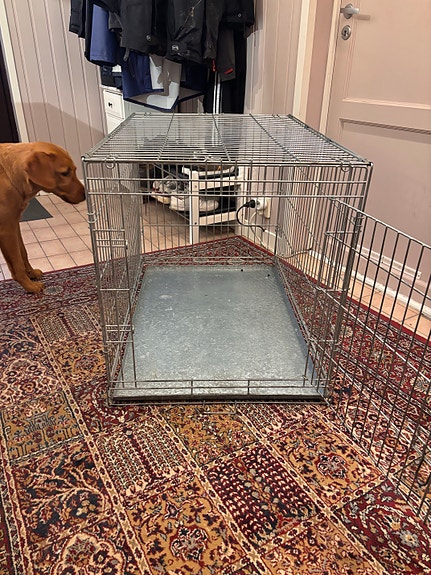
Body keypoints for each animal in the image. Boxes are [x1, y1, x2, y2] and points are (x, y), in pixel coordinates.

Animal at [0, 142, 86, 293]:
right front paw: (29, 286)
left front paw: (31, 273)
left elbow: (23, 253)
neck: (10, 176)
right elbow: (17, 263)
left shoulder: (14, 223)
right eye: (65, 173)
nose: (85, 194)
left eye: (75, 170)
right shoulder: (6, 229)